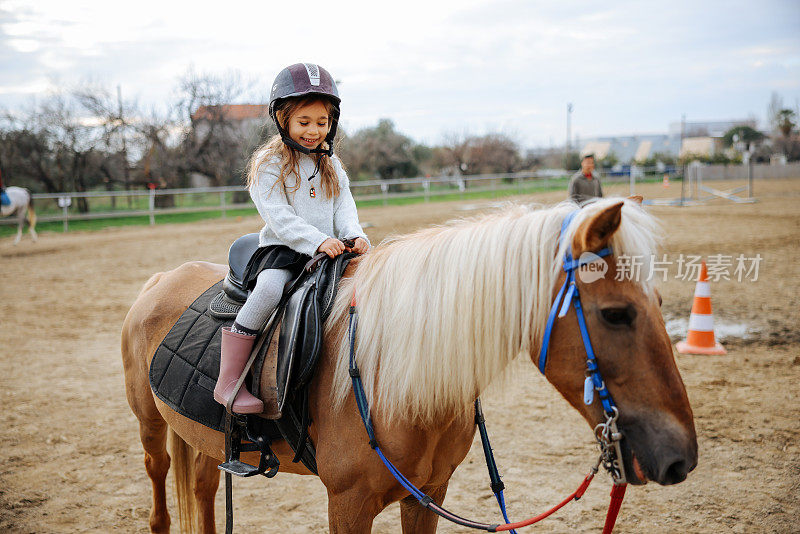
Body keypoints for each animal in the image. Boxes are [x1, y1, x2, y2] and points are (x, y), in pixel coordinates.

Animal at [122, 199, 696, 532]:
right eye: (616, 313)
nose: (680, 458)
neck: (392, 381)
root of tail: (162, 278)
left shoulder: (427, 497)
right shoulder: (347, 505)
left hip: (202, 437)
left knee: (202, 490)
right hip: (151, 427)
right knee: (158, 482)